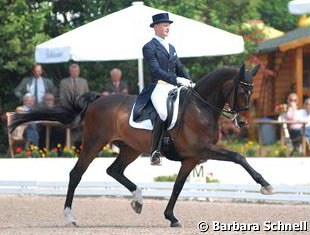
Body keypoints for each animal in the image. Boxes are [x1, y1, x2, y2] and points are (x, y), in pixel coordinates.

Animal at [10, 63, 274, 226]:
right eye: (242, 91)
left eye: (251, 92)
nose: (242, 121)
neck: (201, 108)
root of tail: (98, 99)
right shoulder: (202, 150)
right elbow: (239, 157)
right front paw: (266, 185)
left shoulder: (192, 158)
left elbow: (178, 186)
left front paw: (171, 217)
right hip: (94, 143)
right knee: (76, 174)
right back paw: (69, 217)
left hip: (130, 148)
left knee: (114, 170)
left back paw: (137, 200)